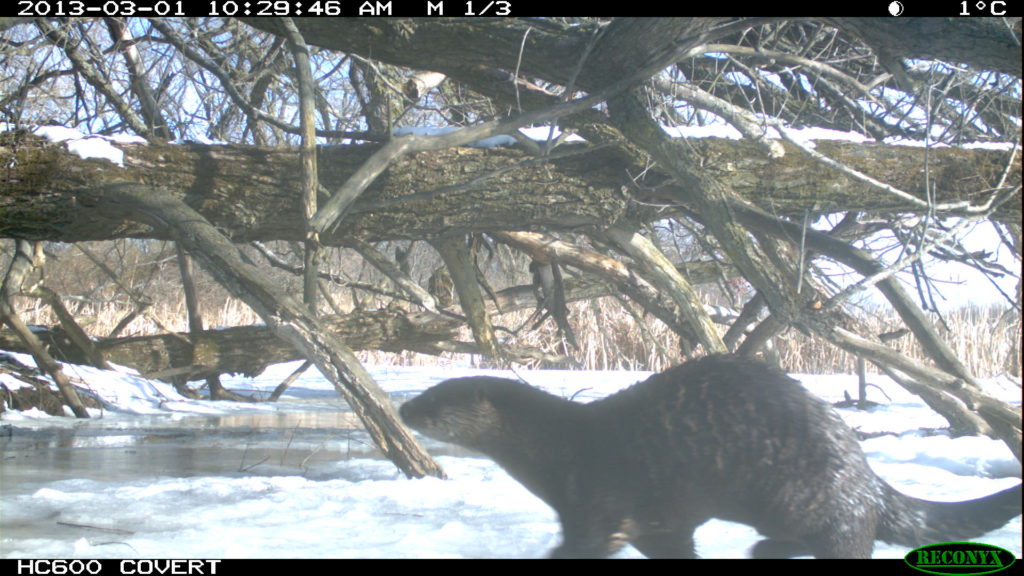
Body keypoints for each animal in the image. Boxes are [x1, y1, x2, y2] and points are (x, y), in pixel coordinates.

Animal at [399, 355, 1021, 558]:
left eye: (436, 400)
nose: (404, 408)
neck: (559, 448)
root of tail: (868, 476)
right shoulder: (661, 524)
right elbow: (671, 544)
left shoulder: (598, 501)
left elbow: (588, 542)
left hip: (812, 493)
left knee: (846, 541)